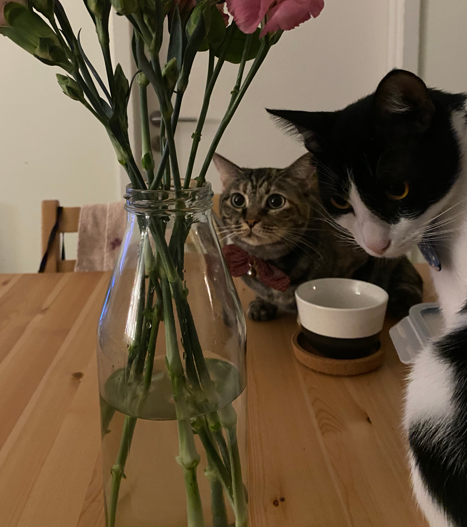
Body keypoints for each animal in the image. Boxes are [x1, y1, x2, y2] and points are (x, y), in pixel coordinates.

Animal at [214, 152, 423, 322]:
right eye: (237, 200)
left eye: (275, 201)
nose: (250, 220)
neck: (269, 263)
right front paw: (263, 303)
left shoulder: (363, 257)